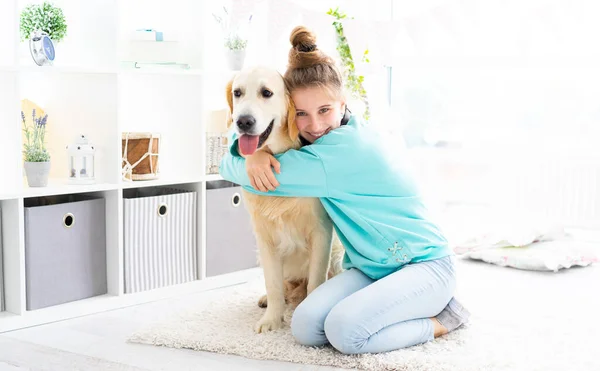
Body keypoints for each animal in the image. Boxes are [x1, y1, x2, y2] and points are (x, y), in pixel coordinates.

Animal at [225, 67, 344, 334]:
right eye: (238, 93)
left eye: (266, 93)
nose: (243, 122)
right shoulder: (265, 237)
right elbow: (273, 283)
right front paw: (272, 319)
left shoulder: (321, 232)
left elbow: (315, 281)